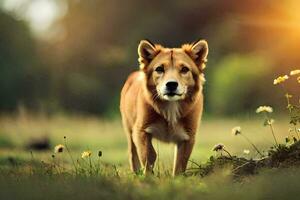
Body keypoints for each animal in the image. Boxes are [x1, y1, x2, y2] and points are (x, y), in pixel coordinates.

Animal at [119, 38, 209, 175]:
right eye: (159, 69)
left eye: (184, 69)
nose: (171, 84)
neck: (170, 107)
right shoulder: (140, 130)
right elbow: (148, 154)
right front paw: (147, 177)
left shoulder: (188, 136)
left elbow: (180, 163)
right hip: (129, 128)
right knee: (132, 153)